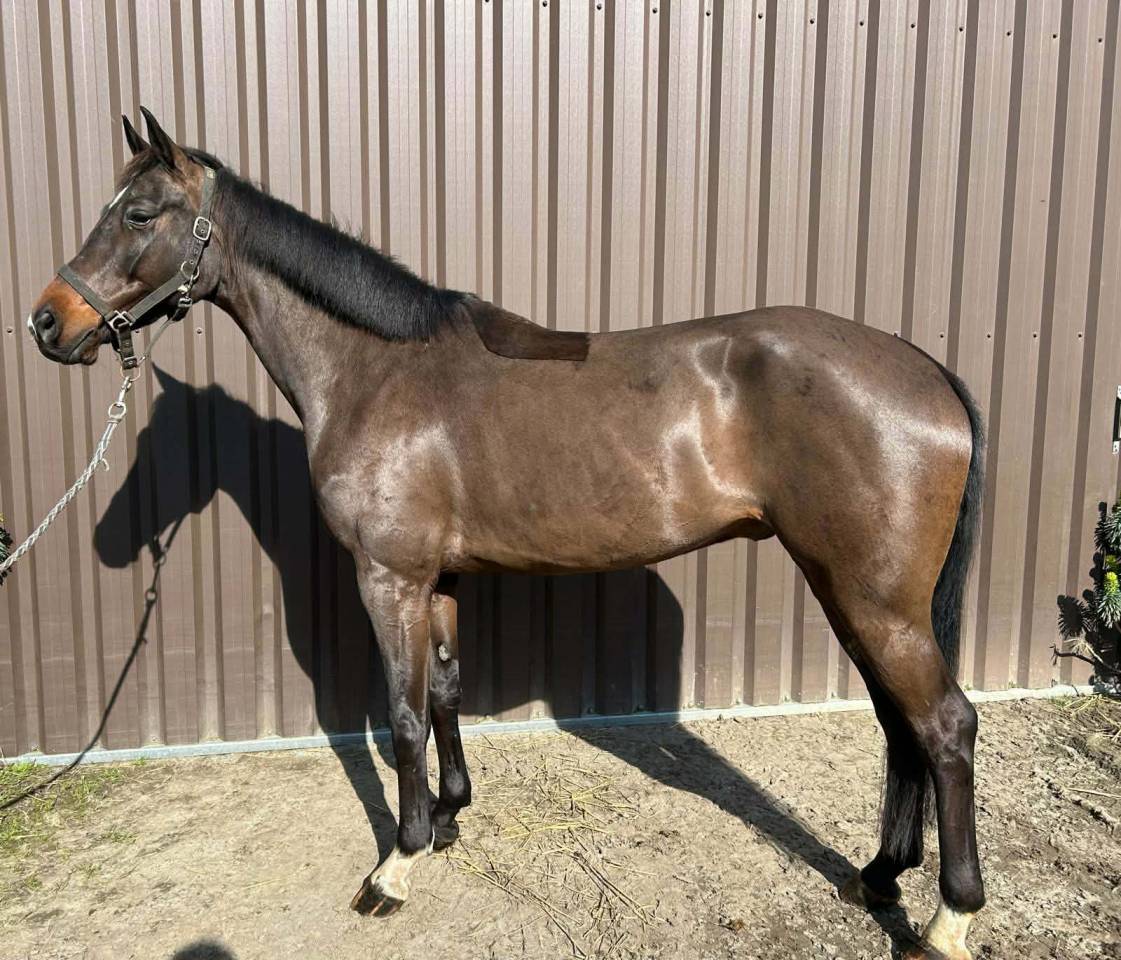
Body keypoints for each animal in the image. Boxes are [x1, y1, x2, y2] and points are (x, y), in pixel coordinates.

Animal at [29, 109, 986, 960]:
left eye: (138, 214)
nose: (47, 323)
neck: (375, 372)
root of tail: (923, 367)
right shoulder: (439, 579)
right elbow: (446, 694)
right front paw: (450, 816)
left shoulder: (388, 578)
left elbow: (403, 715)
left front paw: (397, 862)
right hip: (850, 592)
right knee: (897, 725)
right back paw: (877, 875)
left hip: (874, 601)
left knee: (943, 726)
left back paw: (948, 919)